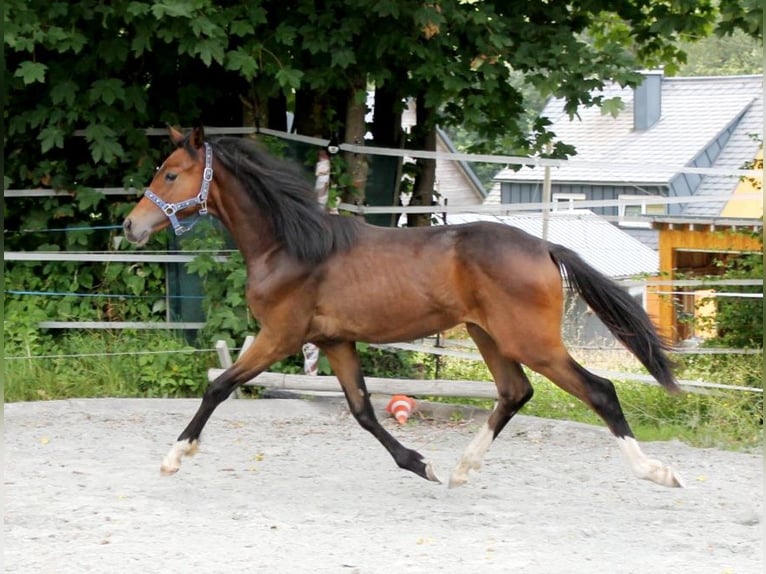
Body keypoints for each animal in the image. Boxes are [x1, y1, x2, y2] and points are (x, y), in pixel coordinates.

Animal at [123, 127, 688, 490]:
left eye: (171, 174)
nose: (131, 226)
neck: (290, 246)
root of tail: (546, 247)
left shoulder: (280, 336)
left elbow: (218, 386)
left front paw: (175, 457)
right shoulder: (334, 341)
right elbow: (363, 411)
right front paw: (420, 464)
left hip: (532, 341)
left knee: (600, 390)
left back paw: (658, 472)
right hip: (488, 336)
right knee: (515, 392)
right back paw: (460, 470)